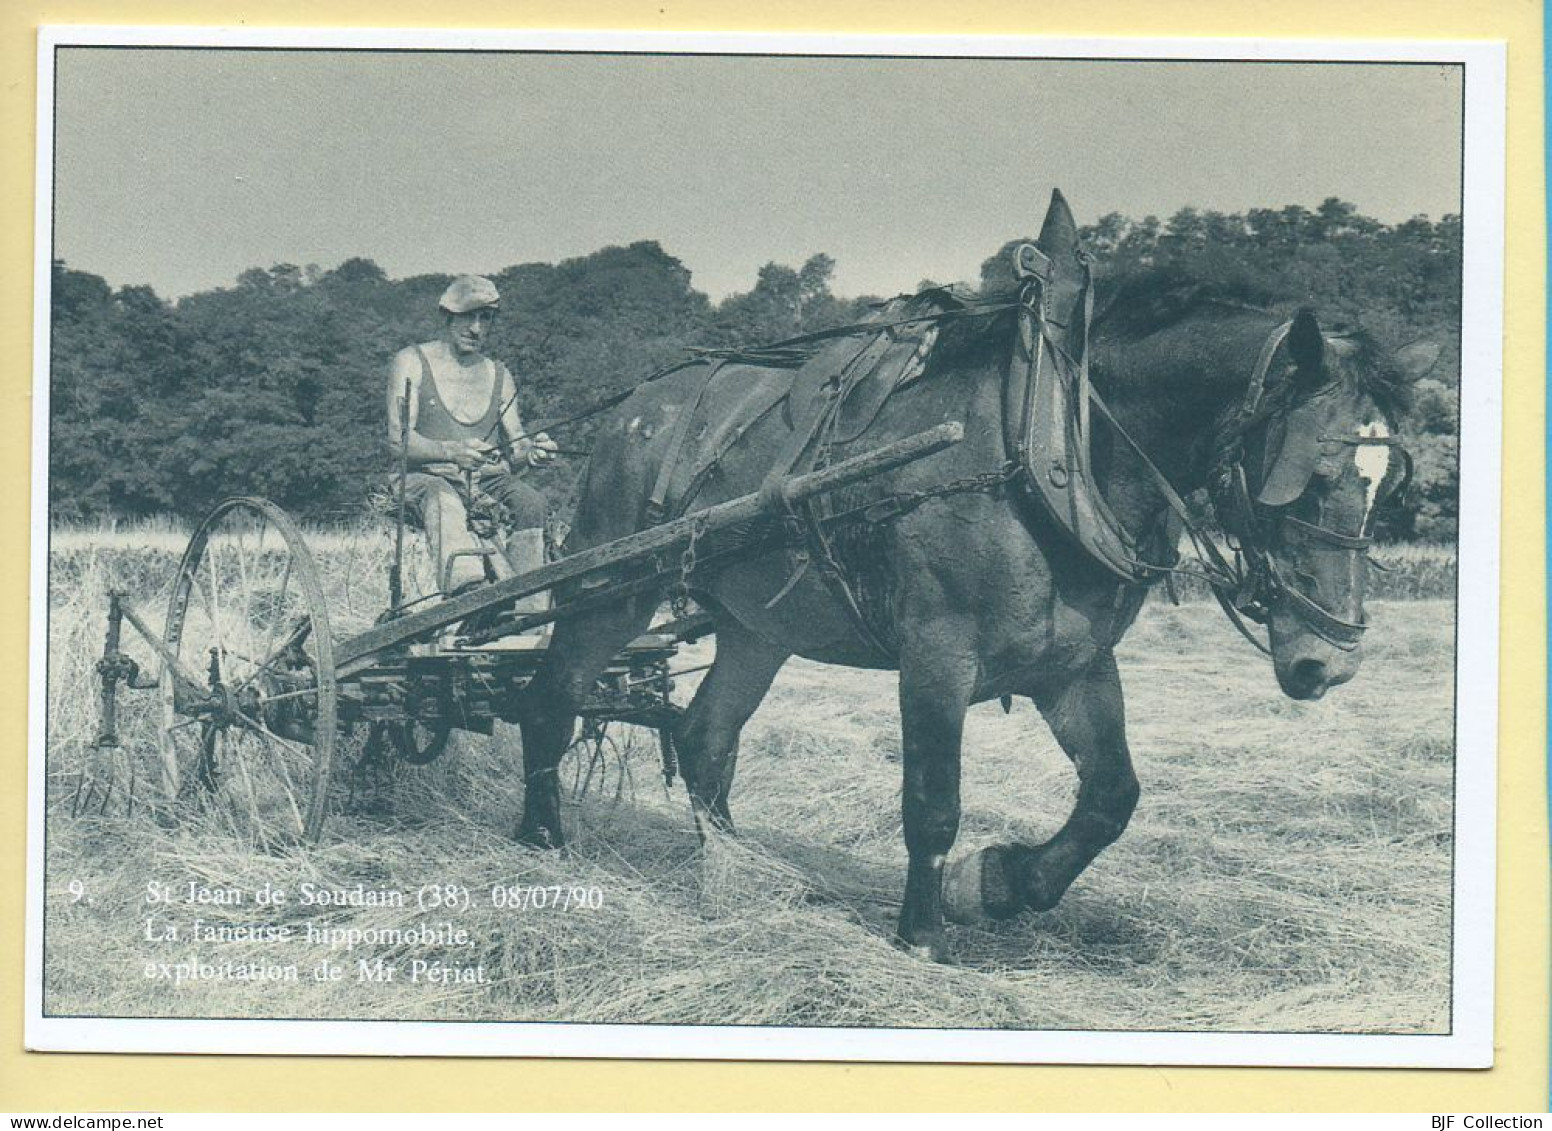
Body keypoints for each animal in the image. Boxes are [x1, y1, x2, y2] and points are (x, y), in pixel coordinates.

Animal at [515, 190, 1434, 955]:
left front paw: (1000, 882)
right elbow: (933, 802)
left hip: (756, 624)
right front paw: (924, 931)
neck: (1053, 440)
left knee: (704, 737)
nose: (1329, 662)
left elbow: (1112, 796)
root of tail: (639, 402)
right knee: (554, 692)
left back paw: (741, 871)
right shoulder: (937, 655)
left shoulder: (1072, 664)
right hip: (611, 584)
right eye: (1307, 477)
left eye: (1387, 483)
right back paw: (541, 836)